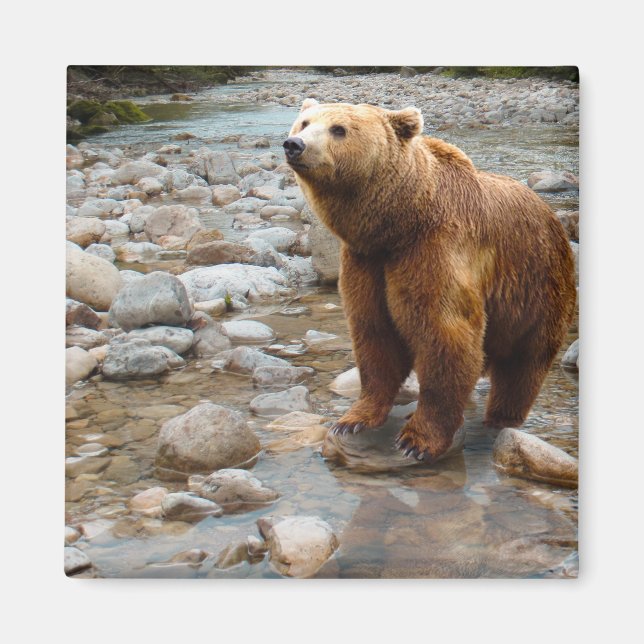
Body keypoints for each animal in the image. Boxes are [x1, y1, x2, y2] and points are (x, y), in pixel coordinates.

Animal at [284, 98, 576, 463]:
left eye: (339, 129)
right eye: (305, 122)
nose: (294, 144)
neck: (399, 222)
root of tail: (552, 215)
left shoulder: (433, 250)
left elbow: (444, 334)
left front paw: (417, 440)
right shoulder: (366, 262)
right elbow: (374, 334)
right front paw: (352, 420)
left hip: (536, 286)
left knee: (523, 364)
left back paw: (500, 417)